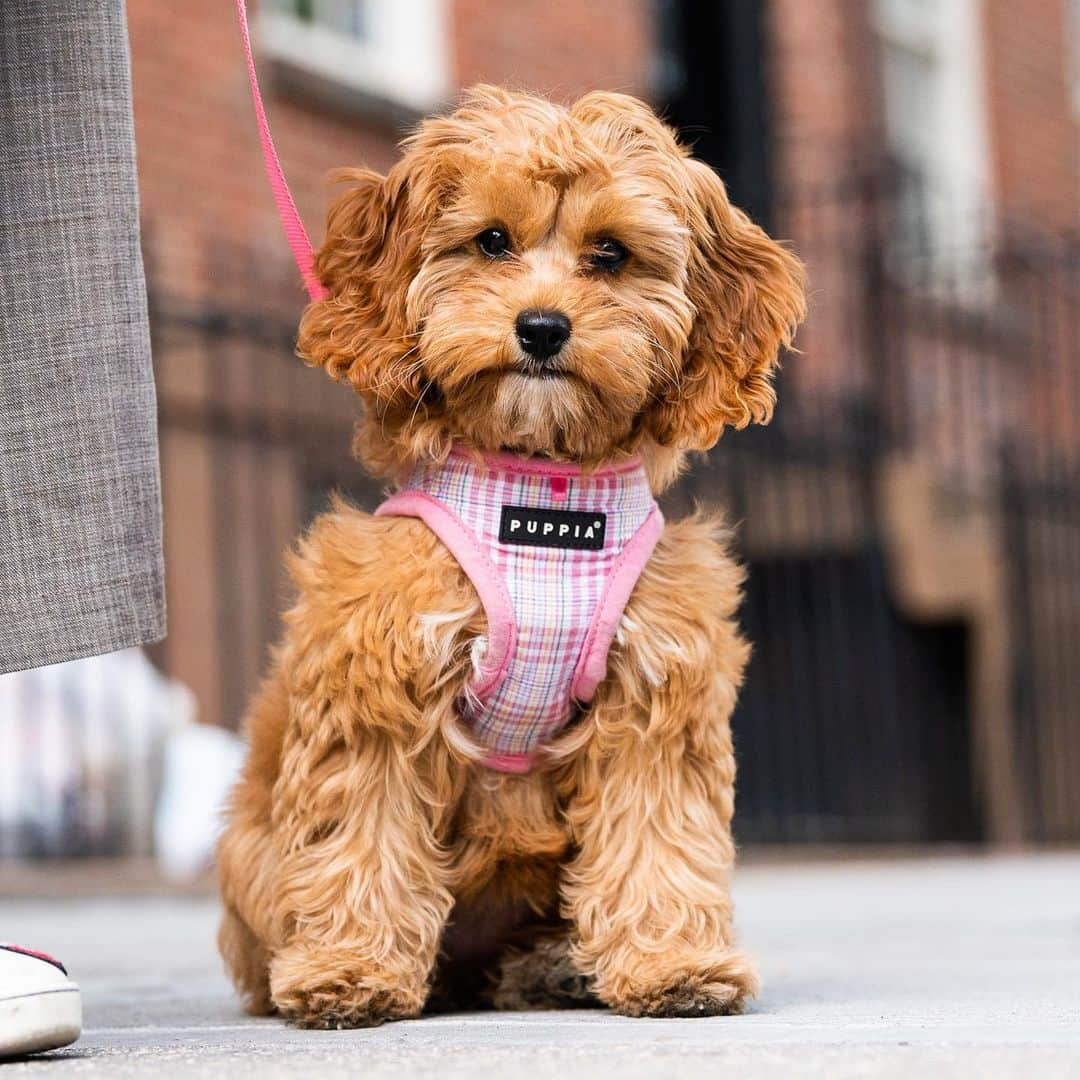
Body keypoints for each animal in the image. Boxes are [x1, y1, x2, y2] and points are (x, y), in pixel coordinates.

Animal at [217, 84, 803, 1028]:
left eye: (610, 253)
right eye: (491, 240)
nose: (541, 327)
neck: (541, 494)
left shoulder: (654, 691)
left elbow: (655, 830)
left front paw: (671, 961)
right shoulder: (379, 679)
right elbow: (363, 827)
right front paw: (349, 970)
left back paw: (553, 966)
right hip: (248, 850)